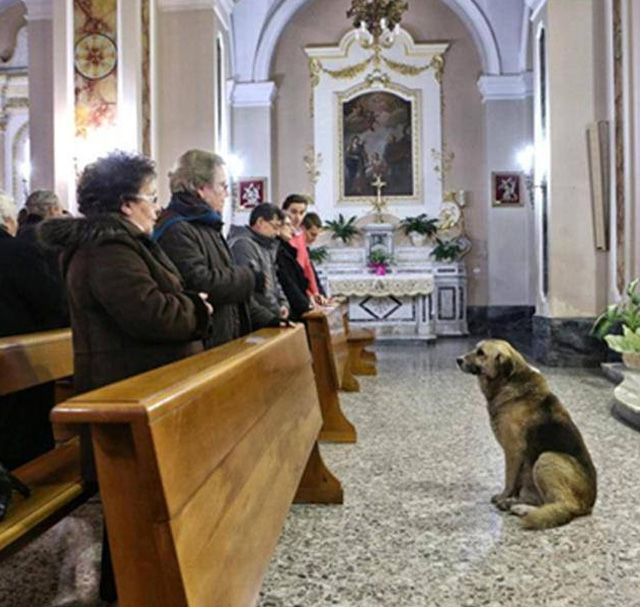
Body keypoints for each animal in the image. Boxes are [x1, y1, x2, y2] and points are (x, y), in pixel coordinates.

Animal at [456, 340, 596, 528]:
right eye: (476, 349)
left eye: (481, 353)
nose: (458, 359)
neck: (507, 382)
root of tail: (589, 505)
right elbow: (516, 483)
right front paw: (511, 498)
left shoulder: (513, 450)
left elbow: (509, 479)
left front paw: (504, 496)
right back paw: (517, 504)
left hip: (547, 458)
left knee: (563, 506)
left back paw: (521, 508)